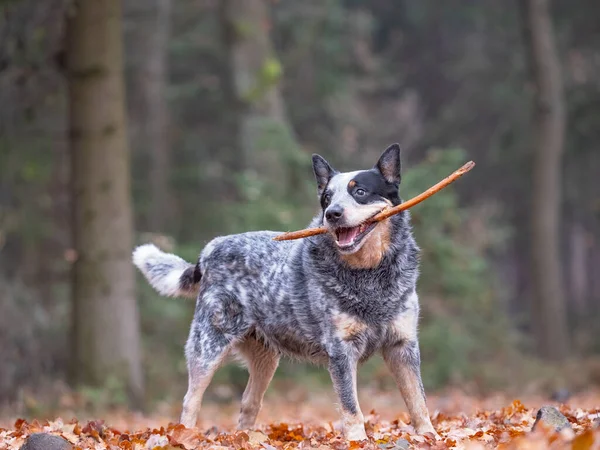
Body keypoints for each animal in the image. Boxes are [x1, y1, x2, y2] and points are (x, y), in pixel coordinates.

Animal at [134, 144, 438, 440]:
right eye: (327, 198)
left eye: (360, 191)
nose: (332, 214)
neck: (370, 274)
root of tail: (210, 249)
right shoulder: (341, 351)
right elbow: (351, 407)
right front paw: (357, 441)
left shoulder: (403, 345)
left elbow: (418, 401)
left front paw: (429, 436)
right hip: (209, 346)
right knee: (191, 400)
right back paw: (183, 435)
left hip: (265, 358)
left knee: (249, 402)